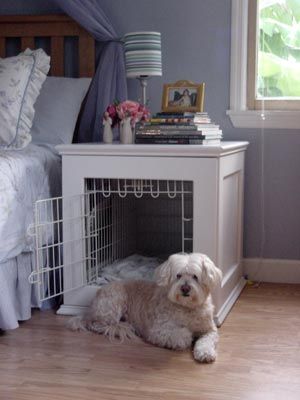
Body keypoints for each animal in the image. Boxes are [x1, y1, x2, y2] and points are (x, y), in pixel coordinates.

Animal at [68, 253, 223, 362]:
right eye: (178, 275)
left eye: (195, 277)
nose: (185, 288)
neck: (186, 307)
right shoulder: (158, 331)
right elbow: (182, 334)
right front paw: (186, 336)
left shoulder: (209, 330)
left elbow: (207, 340)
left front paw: (205, 353)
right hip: (114, 301)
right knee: (98, 324)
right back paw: (121, 327)